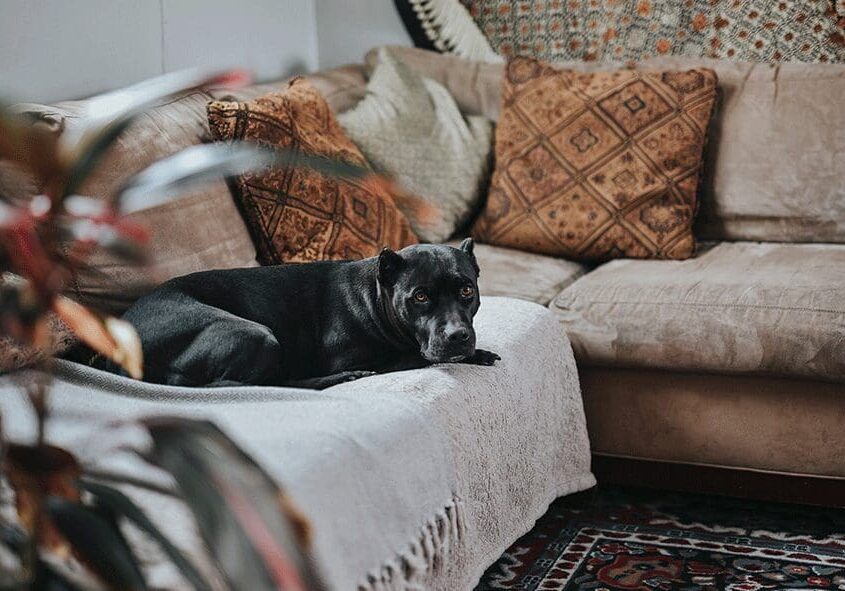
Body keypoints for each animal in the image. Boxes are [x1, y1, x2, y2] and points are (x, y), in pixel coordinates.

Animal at [113, 238, 498, 390]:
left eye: (467, 290)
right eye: (419, 297)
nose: (458, 336)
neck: (375, 298)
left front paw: (476, 351)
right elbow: (414, 357)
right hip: (255, 334)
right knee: (252, 384)